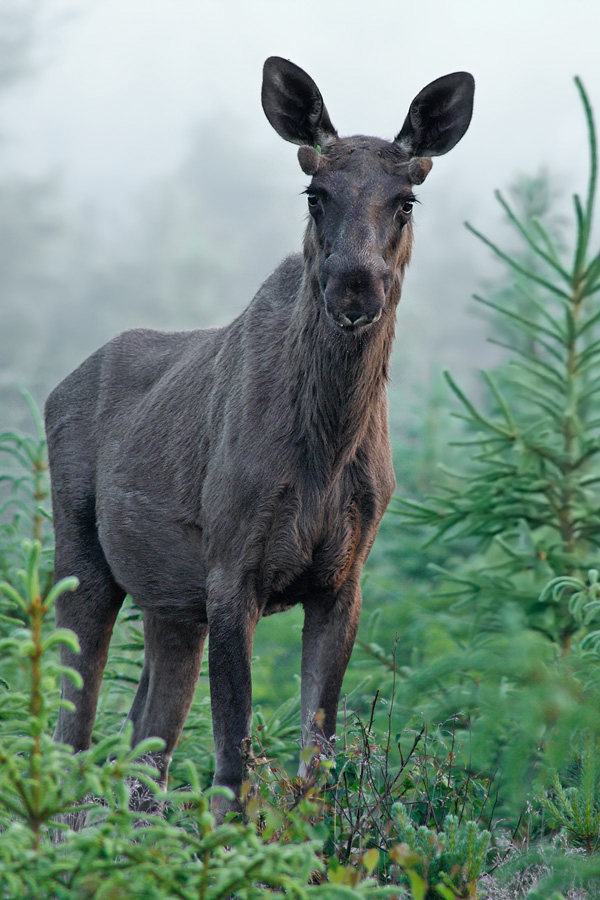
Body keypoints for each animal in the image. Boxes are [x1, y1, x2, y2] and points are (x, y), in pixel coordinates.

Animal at [44, 54, 474, 816]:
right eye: (314, 192)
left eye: (406, 200)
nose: (355, 288)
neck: (326, 448)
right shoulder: (229, 568)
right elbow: (232, 758)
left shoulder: (343, 578)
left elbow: (318, 755)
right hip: (82, 555)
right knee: (75, 728)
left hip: (169, 606)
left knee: (142, 745)